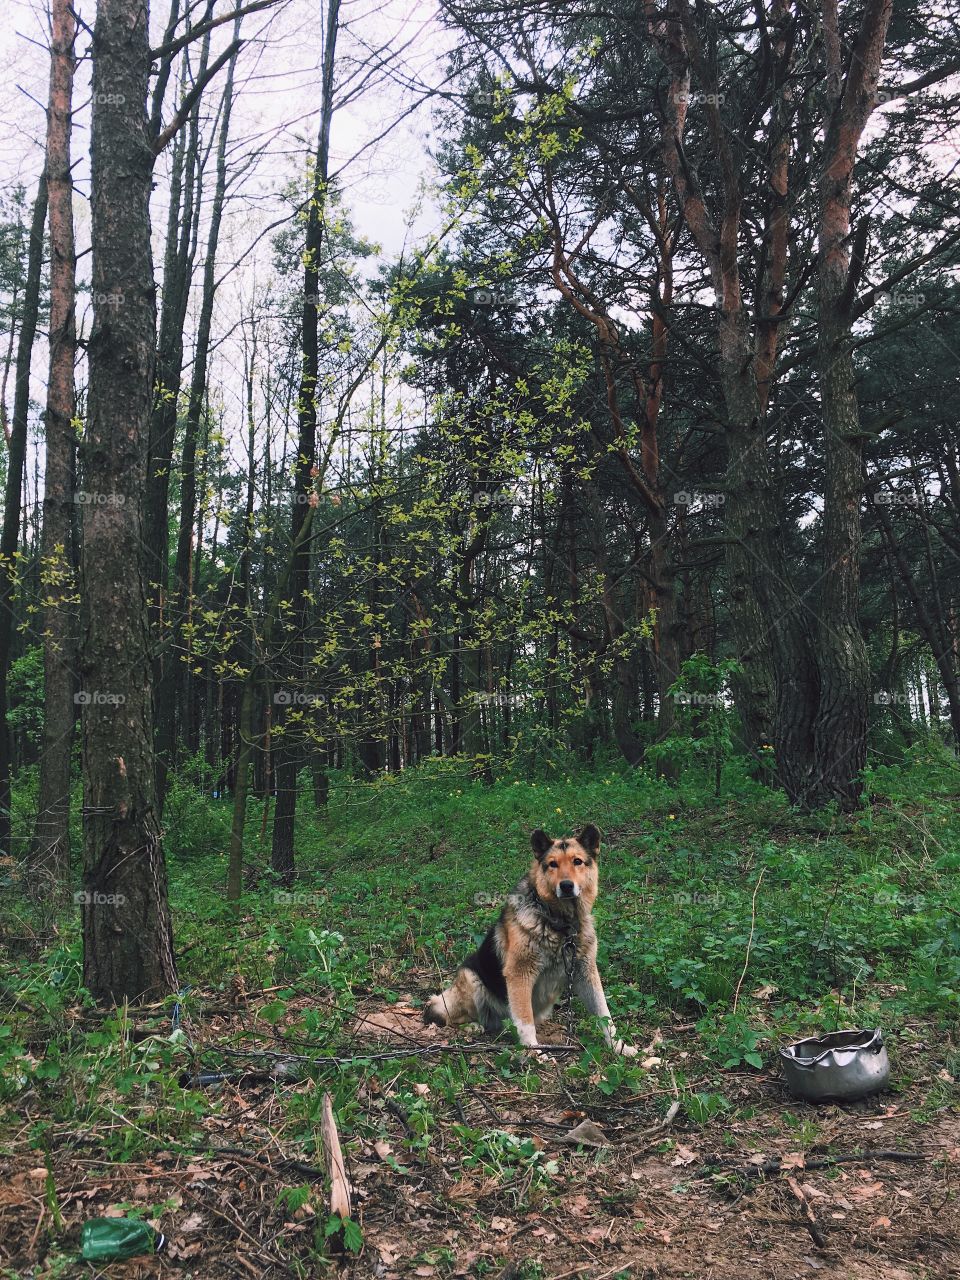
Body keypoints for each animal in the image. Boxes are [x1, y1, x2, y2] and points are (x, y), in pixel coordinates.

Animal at [422, 824, 640, 1054]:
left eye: (577, 861)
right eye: (552, 864)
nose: (566, 885)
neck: (559, 924)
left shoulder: (585, 972)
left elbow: (605, 1015)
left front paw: (619, 1047)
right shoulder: (519, 974)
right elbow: (524, 1019)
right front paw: (532, 1051)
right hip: (472, 980)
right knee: (441, 1012)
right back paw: (472, 1026)